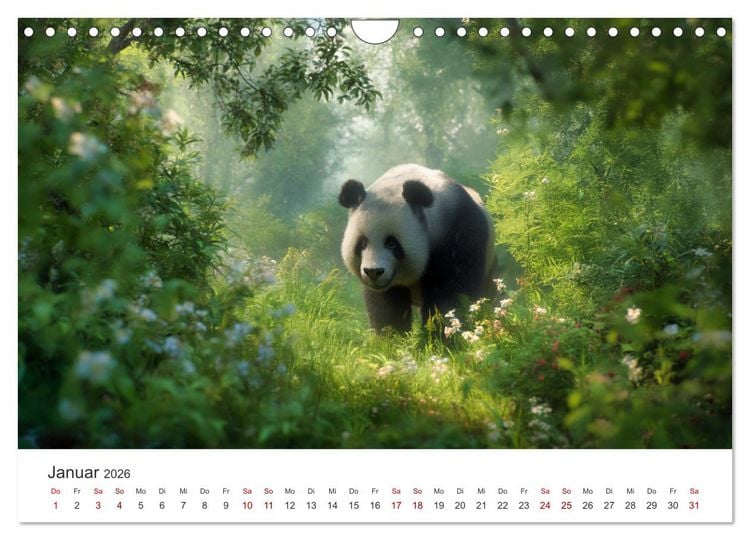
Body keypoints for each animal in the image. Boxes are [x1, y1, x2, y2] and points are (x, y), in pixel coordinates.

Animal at [339, 163, 495, 333]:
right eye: (362, 243)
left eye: (392, 243)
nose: (373, 272)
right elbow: (386, 305)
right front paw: (392, 335)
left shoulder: (458, 230)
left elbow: (453, 289)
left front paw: (441, 332)